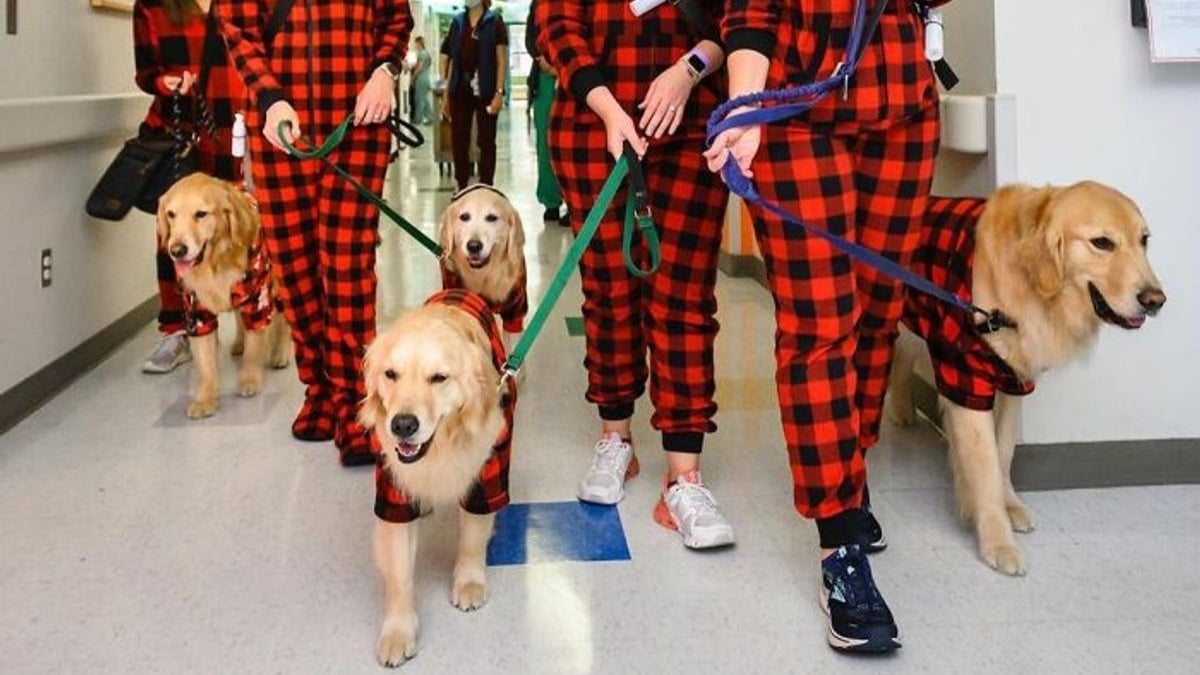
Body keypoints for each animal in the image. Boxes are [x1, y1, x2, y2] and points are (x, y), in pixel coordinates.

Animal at [156, 172, 289, 415]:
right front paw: (205, 399)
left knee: (284, 318)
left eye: (201, 214)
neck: (215, 262)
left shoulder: (257, 300)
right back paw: (239, 343)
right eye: (171, 214)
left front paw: (249, 381)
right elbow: (206, 362)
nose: (177, 251)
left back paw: (280, 353)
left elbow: (255, 347)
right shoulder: (197, 313)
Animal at [360, 285, 520, 662]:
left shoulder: (485, 474)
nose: (403, 425)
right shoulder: (393, 492)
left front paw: (469, 583)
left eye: (439, 378)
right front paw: (398, 631)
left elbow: (472, 538)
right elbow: (399, 574)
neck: (442, 444)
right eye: (390, 374)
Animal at [892, 182, 1161, 571]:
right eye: (1102, 243)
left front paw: (1010, 507)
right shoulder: (966, 377)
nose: (1156, 300)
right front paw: (997, 541)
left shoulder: (1014, 379)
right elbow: (986, 465)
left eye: (1144, 240)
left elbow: (1003, 452)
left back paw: (902, 410)